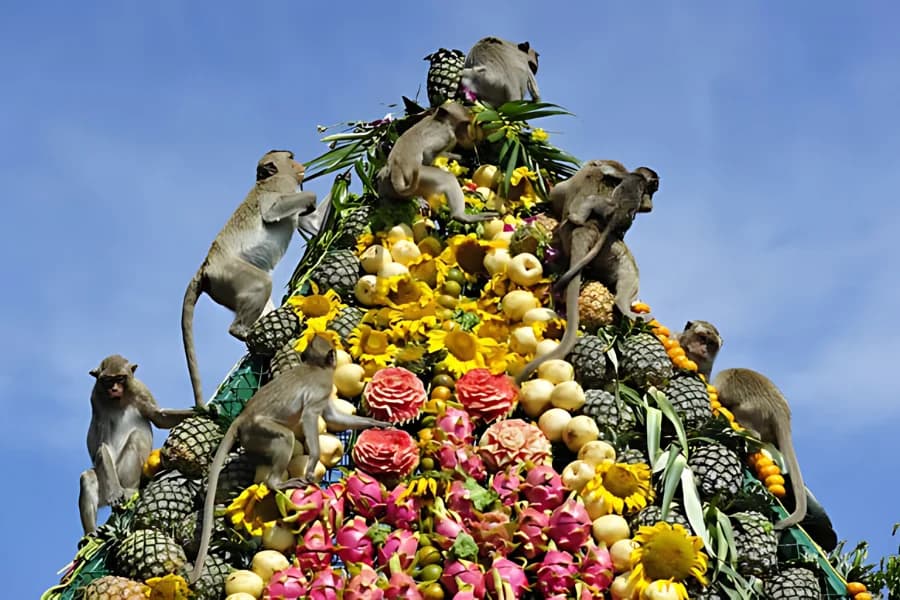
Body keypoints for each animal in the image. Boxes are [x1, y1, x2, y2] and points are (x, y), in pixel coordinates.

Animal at [80, 355, 194, 534]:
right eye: (108, 380)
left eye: (120, 378)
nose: (114, 389)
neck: (119, 400)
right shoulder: (96, 399)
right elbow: (102, 446)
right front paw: (115, 492)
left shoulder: (140, 389)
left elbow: (159, 417)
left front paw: (207, 411)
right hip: (109, 479)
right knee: (88, 477)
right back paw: (90, 534)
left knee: (136, 437)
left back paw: (130, 490)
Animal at [182, 150, 317, 408]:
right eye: (290, 157)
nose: (300, 164)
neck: (266, 179)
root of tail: (206, 266)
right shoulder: (282, 185)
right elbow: (272, 212)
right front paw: (311, 200)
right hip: (231, 274)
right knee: (262, 284)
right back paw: (241, 331)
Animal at [189, 335, 389, 583]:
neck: (315, 366)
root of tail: (242, 417)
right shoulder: (323, 386)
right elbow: (311, 415)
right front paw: (312, 462)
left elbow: (334, 417)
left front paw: (378, 423)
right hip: (258, 429)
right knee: (286, 436)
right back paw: (277, 483)